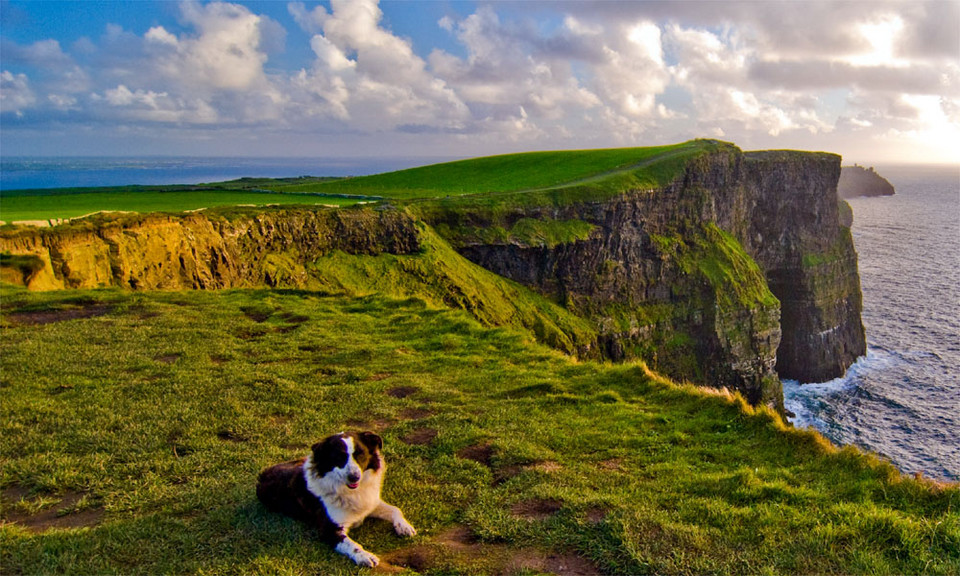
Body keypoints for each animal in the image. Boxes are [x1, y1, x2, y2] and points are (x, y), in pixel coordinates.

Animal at [256, 432, 414, 568]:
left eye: (360, 454)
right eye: (339, 457)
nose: (354, 477)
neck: (349, 491)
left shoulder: (370, 503)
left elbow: (395, 509)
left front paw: (403, 526)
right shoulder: (329, 530)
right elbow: (352, 545)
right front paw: (364, 556)